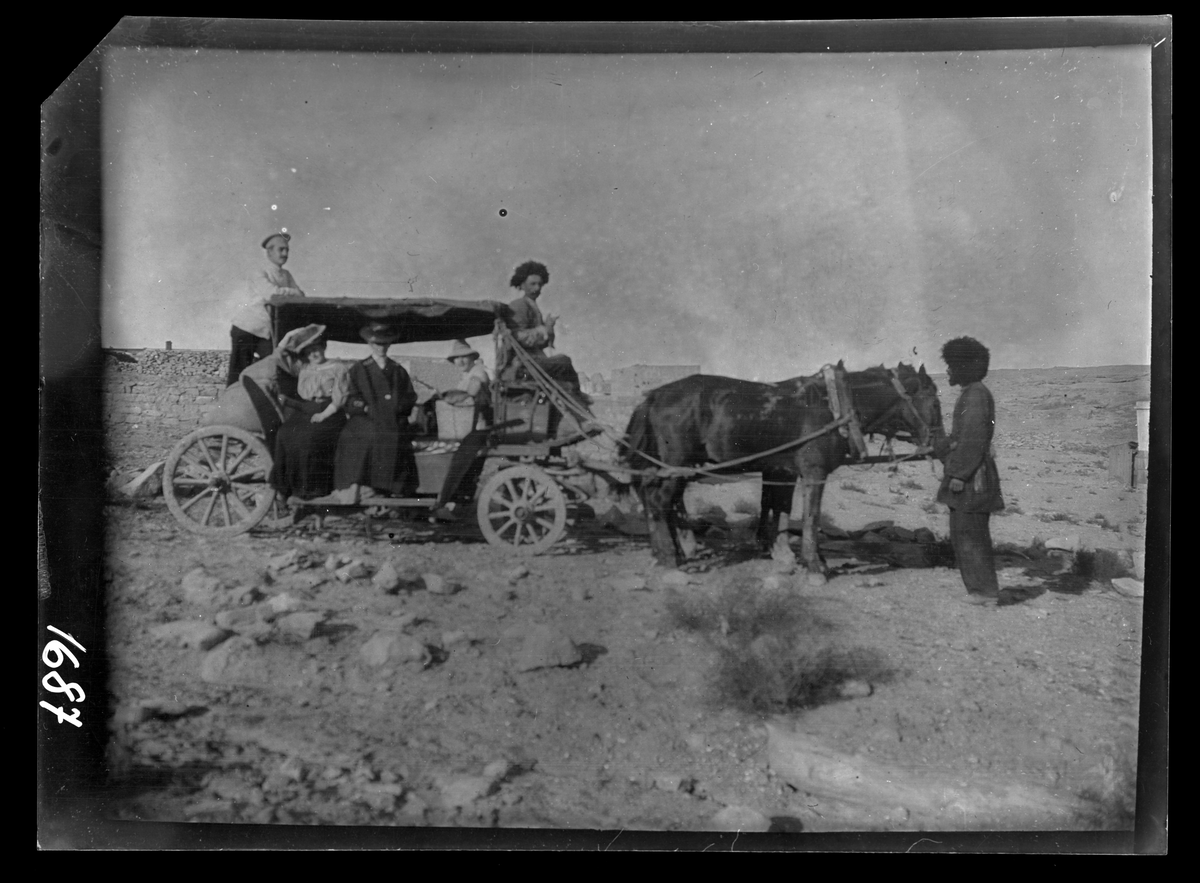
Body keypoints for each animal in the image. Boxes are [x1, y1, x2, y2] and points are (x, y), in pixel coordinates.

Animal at [620, 363, 944, 580]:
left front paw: (787, 554)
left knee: (653, 497)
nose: (941, 441)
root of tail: (654, 395)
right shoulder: (814, 473)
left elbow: (780, 508)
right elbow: (811, 517)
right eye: (934, 399)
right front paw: (814, 565)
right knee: (659, 501)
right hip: (677, 466)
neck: (834, 406)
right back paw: (669, 557)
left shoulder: (782, 470)